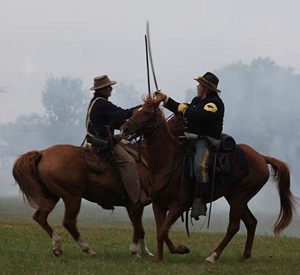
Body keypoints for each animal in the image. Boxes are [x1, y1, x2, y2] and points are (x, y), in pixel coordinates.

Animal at [11, 144, 152, 258]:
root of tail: (43, 152)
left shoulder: (137, 206)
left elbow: (140, 228)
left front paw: (145, 251)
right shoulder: (134, 204)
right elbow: (137, 227)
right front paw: (135, 252)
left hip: (51, 197)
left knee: (40, 217)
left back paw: (57, 246)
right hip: (72, 197)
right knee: (69, 222)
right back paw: (88, 249)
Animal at [120, 97, 296, 264]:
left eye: (147, 113)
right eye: (135, 111)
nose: (124, 129)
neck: (167, 162)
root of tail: (261, 157)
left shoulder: (179, 205)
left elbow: (163, 230)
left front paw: (179, 249)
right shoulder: (158, 205)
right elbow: (160, 231)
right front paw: (158, 258)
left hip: (240, 197)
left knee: (234, 226)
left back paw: (213, 256)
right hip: (234, 197)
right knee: (251, 222)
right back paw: (244, 256)